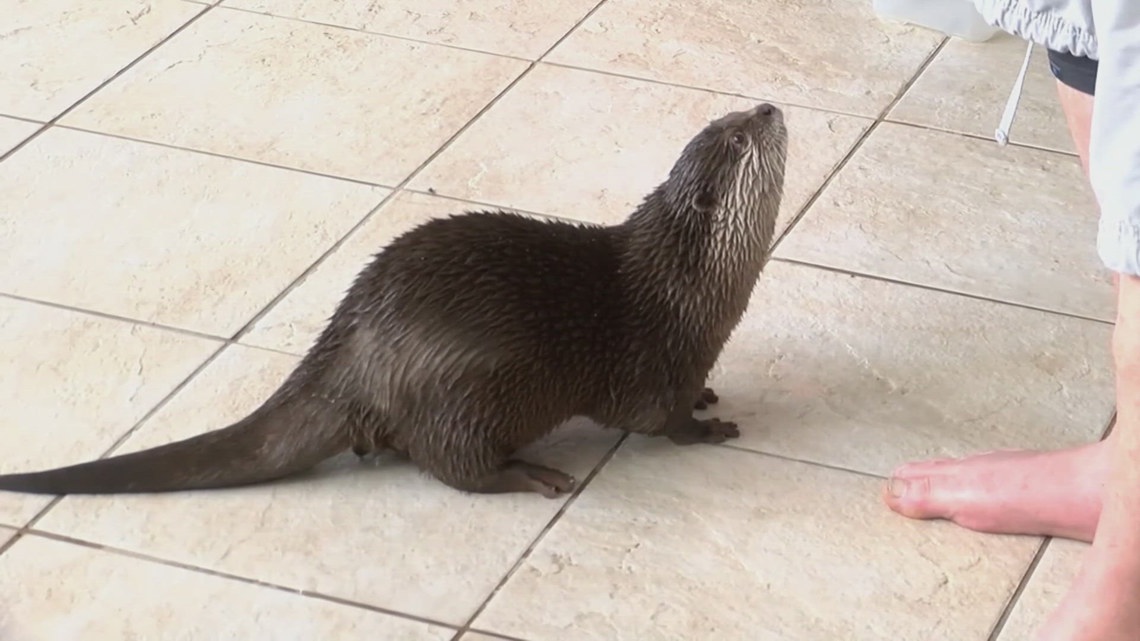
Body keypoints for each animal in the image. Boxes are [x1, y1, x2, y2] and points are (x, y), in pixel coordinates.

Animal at [0, 103, 788, 498]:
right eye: (740, 138)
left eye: (729, 115)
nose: (769, 104)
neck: (687, 287)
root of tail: (351, 348)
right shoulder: (656, 360)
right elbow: (659, 422)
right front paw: (708, 428)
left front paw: (711, 396)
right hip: (467, 391)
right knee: (452, 465)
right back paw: (532, 474)